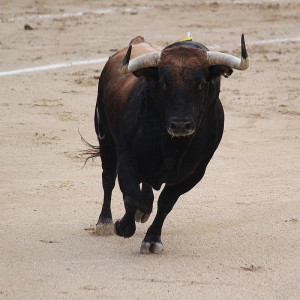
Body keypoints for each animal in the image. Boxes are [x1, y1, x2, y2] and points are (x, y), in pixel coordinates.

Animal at [90, 36, 250, 254]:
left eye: (201, 84)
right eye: (163, 83)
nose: (180, 125)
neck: (172, 147)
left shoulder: (195, 171)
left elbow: (166, 202)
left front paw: (152, 239)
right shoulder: (127, 157)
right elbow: (130, 194)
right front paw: (123, 226)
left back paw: (144, 208)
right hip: (105, 137)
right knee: (108, 178)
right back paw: (104, 221)